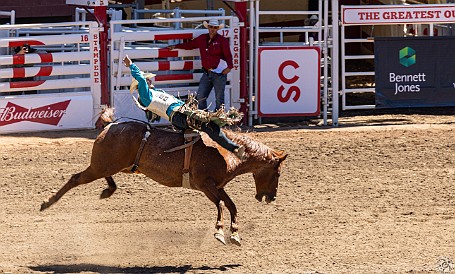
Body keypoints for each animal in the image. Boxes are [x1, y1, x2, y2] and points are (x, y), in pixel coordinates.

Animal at [40, 109, 288, 246]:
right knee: (75, 179)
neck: (229, 152)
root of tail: (111, 124)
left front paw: (235, 235)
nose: (271, 197)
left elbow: (232, 205)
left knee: (105, 177)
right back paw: (46, 203)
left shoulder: (218, 186)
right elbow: (220, 205)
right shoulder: (206, 185)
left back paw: (107, 190)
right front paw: (219, 232)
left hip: (114, 165)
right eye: (277, 172)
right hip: (99, 166)